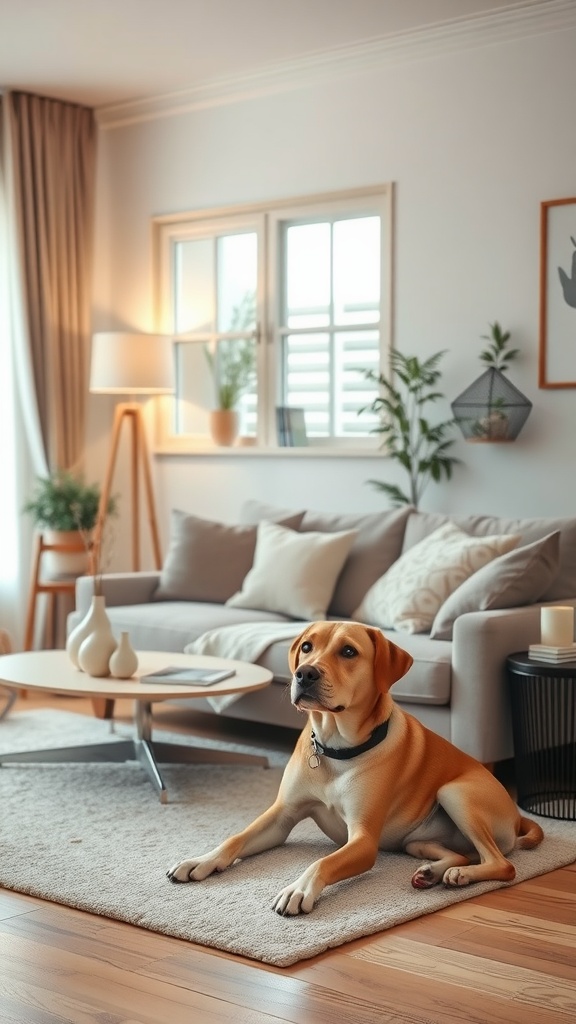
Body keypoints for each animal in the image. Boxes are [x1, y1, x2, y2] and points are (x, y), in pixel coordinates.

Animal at [163, 618, 541, 917]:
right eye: (306, 646)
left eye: (348, 652)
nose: (304, 673)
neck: (335, 749)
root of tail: (517, 814)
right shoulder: (282, 815)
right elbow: (235, 838)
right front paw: (200, 860)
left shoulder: (362, 839)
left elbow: (323, 861)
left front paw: (299, 889)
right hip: (416, 842)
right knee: (461, 856)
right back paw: (433, 872)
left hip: (455, 792)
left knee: (502, 864)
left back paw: (461, 876)